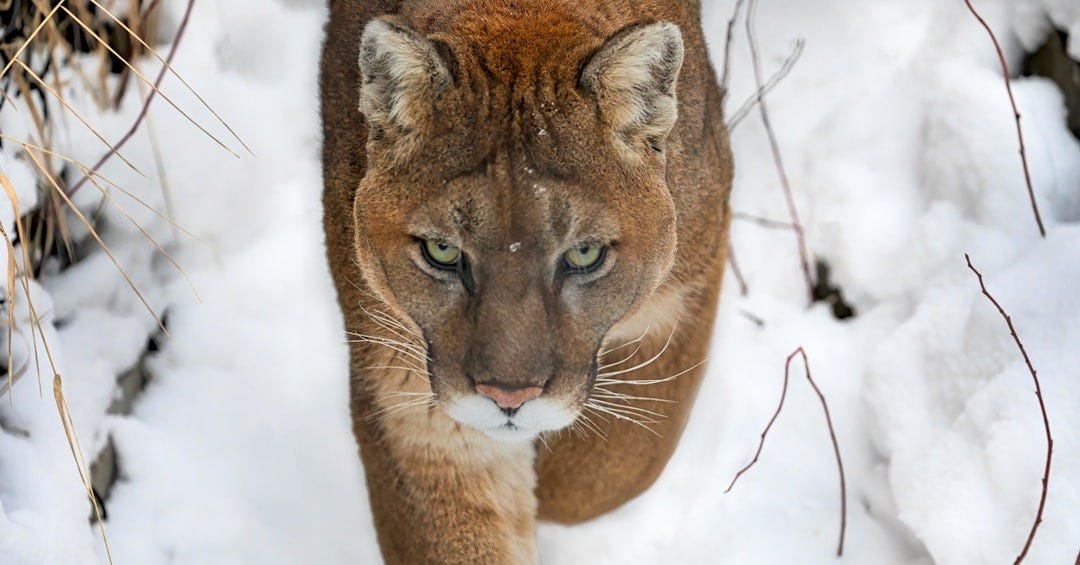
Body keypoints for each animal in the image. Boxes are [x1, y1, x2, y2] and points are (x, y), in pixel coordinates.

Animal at [320, 0, 732, 562]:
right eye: (442, 252)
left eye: (583, 254)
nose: (509, 397)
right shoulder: (406, 391)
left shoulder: (679, 299)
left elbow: (607, 470)